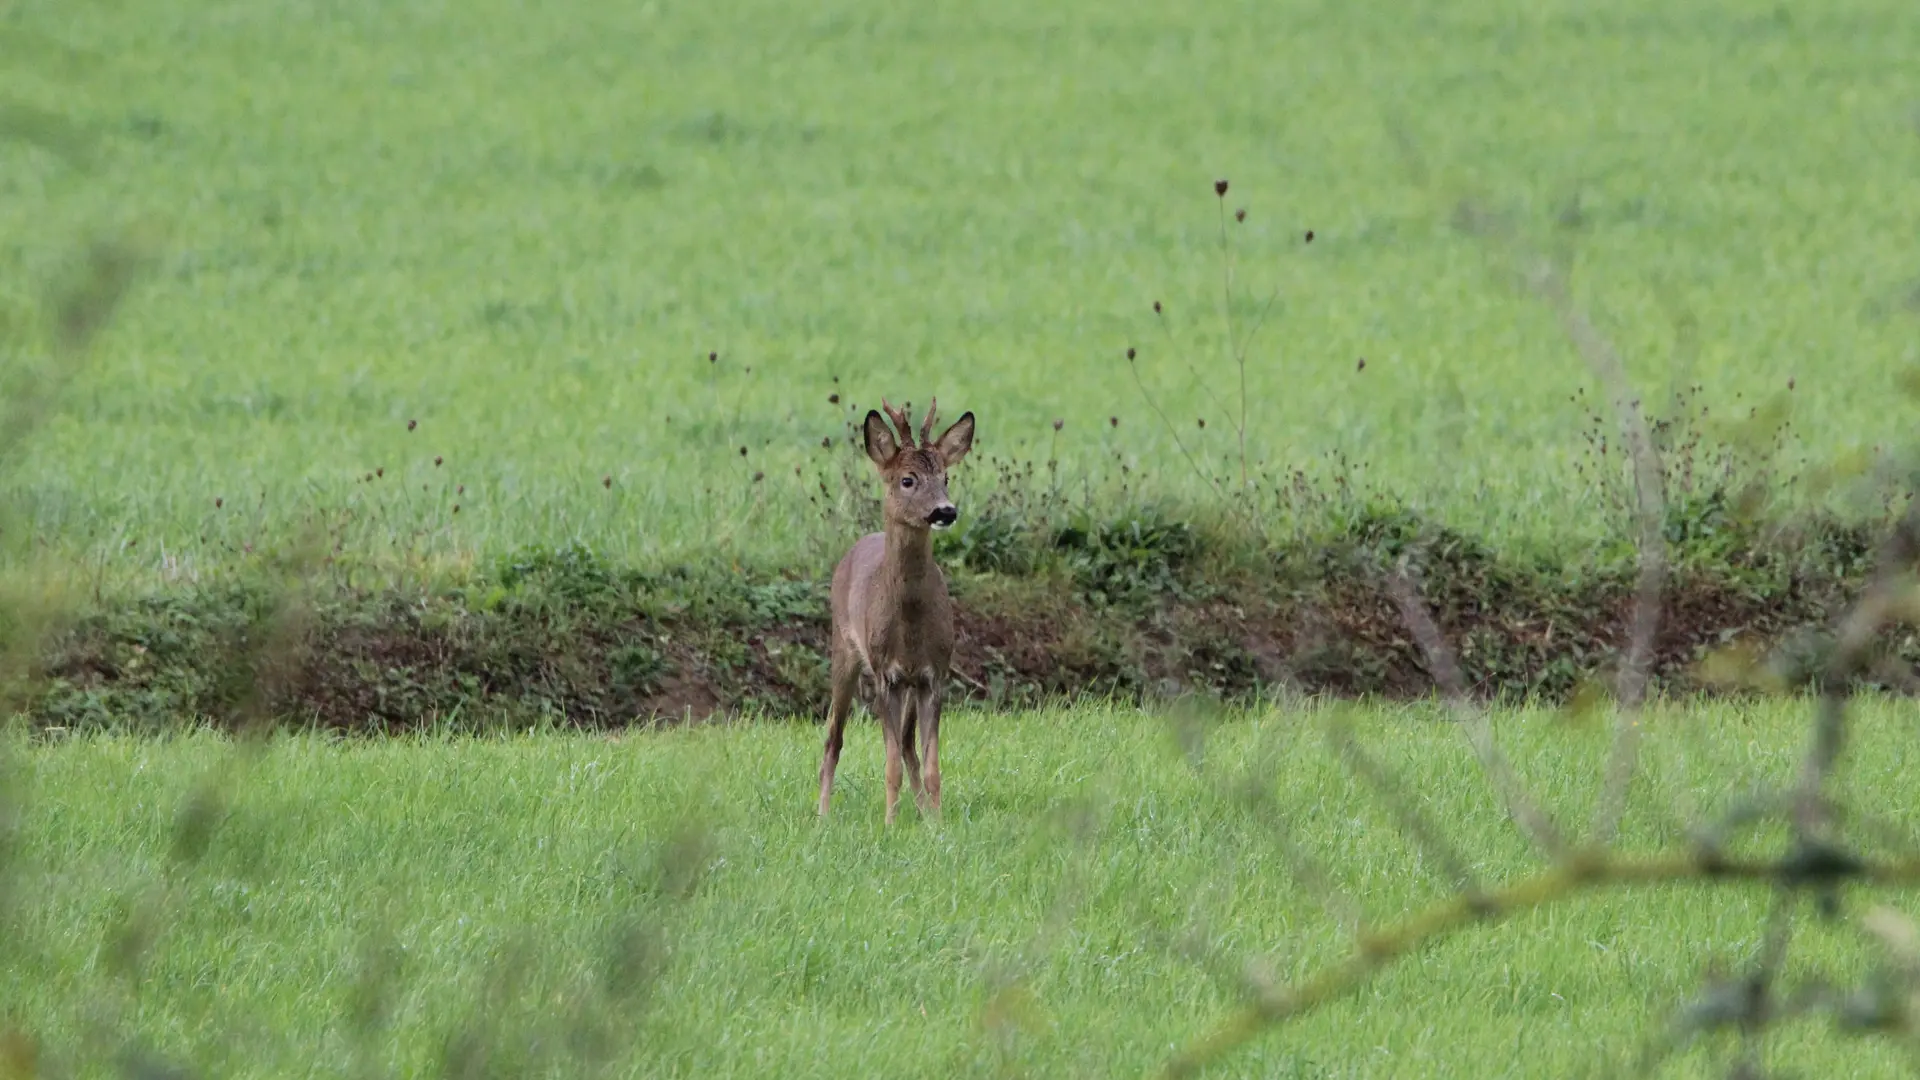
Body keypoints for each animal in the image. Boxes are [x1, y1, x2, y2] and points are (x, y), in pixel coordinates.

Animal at [817, 395, 975, 822]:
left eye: (946, 478)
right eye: (908, 479)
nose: (945, 511)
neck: (910, 626)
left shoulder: (934, 674)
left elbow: (930, 762)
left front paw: (937, 823)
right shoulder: (885, 674)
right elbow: (889, 765)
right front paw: (889, 822)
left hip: (908, 683)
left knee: (906, 744)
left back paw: (921, 812)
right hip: (844, 650)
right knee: (833, 737)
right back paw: (822, 815)